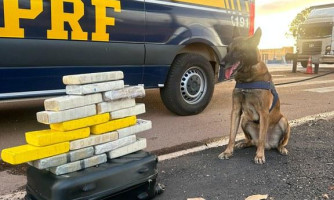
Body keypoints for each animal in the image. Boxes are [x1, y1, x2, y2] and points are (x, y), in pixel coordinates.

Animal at [218, 28, 290, 164]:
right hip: (245, 120)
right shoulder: (236, 111)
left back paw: (281, 149)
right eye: (228, 49)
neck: (247, 78)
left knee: (277, 142)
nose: (221, 64)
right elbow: (231, 135)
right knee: (251, 141)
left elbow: (261, 137)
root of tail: (269, 145)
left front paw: (260, 155)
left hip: (284, 121)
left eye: (238, 50)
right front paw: (227, 152)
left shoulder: (264, 113)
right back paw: (244, 143)